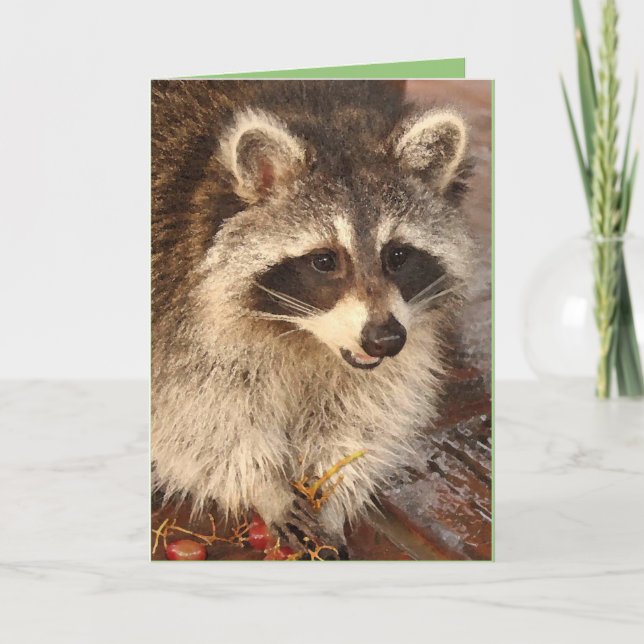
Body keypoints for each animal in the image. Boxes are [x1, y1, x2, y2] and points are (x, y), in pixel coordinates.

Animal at [152, 80, 474, 550]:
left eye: (397, 256)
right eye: (324, 261)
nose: (384, 339)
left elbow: (370, 407)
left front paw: (336, 487)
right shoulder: (174, 299)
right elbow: (195, 419)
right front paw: (264, 486)